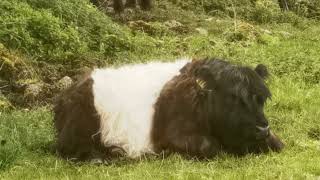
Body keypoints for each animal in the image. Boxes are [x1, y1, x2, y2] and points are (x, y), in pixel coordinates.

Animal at [53, 57, 284, 162]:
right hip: (81, 128)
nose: (262, 128)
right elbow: (210, 147)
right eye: (233, 97)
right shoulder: (175, 136)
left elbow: (278, 144)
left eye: (261, 99)